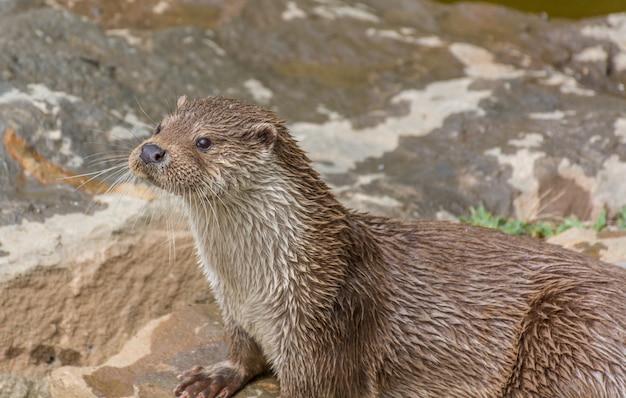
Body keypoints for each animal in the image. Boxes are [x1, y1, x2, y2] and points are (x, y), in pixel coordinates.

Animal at [128, 96, 624, 398]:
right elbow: (241, 353)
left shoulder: (325, 323)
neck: (254, 281)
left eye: (204, 141)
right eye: (159, 126)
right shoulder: (233, 310)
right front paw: (211, 376)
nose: (152, 150)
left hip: (569, 329)